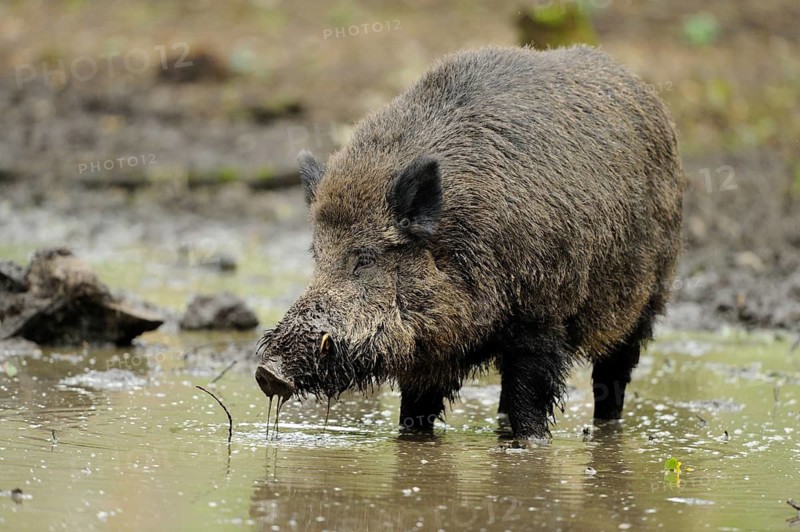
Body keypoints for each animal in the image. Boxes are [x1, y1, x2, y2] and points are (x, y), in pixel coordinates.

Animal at [255, 45, 684, 439]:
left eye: (365, 258)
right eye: (317, 255)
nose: (267, 372)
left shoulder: (541, 316)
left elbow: (531, 397)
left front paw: (528, 443)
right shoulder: (428, 349)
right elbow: (416, 411)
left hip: (645, 296)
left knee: (614, 373)